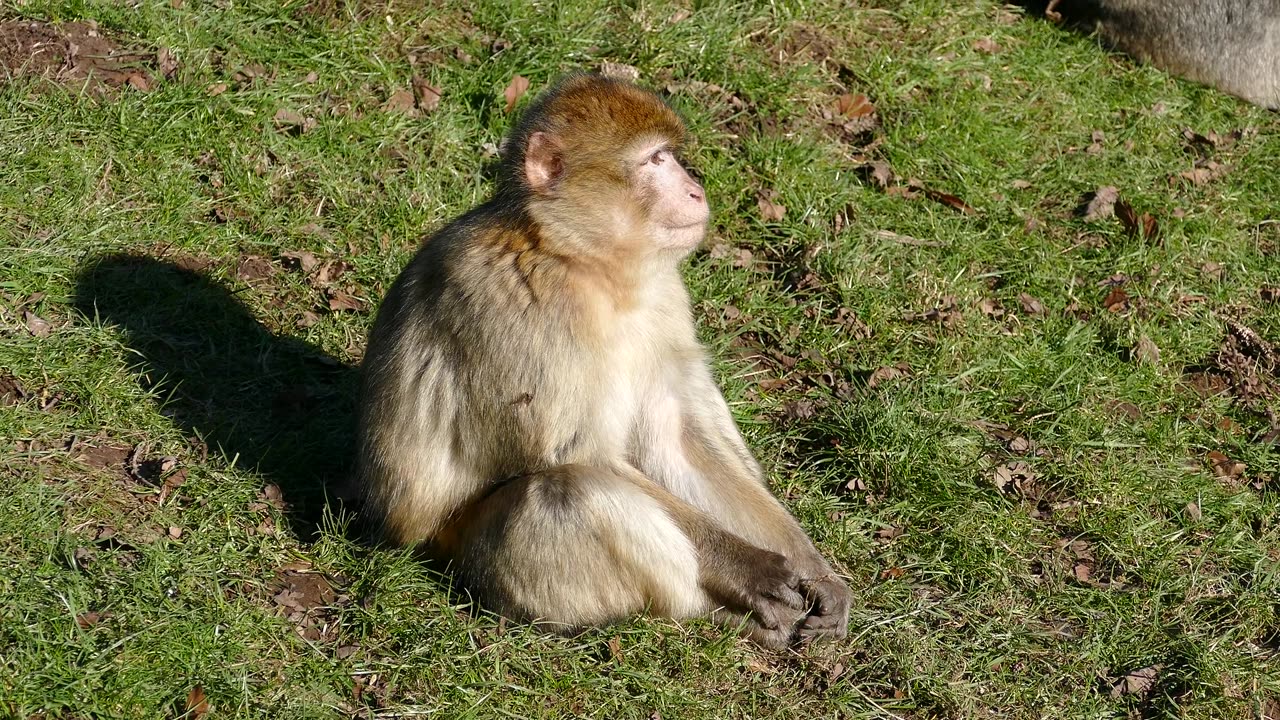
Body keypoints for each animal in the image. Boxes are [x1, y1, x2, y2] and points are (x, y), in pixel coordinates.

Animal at [354, 74, 851, 649]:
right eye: (654, 160)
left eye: (669, 157)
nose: (695, 190)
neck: (581, 262)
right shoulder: (516, 303)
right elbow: (577, 454)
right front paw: (748, 567)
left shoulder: (665, 297)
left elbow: (678, 438)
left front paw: (815, 571)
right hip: (470, 555)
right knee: (569, 491)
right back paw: (709, 614)